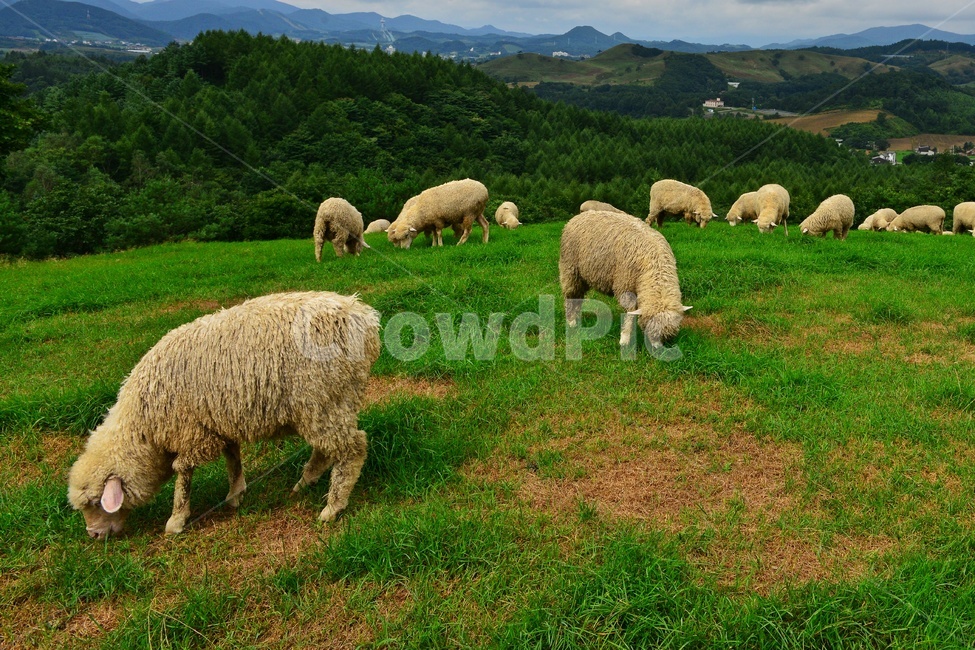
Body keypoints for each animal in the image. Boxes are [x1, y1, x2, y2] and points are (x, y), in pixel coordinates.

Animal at [67, 291, 381, 538]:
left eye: (95, 503)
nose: (93, 535)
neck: (145, 427)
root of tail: (364, 319)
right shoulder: (220, 424)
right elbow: (233, 459)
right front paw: (235, 493)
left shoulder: (193, 432)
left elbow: (183, 474)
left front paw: (176, 519)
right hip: (328, 403)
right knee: (328, 447)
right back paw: (306, 481)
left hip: (323, 398)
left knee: (352, 449)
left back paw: (333, 506)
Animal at [559, 210, 690, 354]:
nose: (658, 351)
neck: (655, 263)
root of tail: (579, 216)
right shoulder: (625, 285)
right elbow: (630, 313)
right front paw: (625, 339)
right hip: (570, 269)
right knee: (570, 294)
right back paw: (571, 321)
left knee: (578, 296)